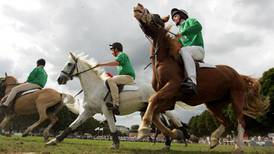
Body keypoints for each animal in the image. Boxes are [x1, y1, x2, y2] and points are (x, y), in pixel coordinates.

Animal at [46, 52, 185, 149]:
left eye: (69, 64)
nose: (59, 79)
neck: (94, 87)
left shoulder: (106, 110)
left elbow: (113, 129)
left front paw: (116, 145)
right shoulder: (88, 111)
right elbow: (71, 127)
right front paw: (53, 141)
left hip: (160, 107)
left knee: (174, 119)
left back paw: (182, 134)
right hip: (149, 110)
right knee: (162, 126)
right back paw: (169, 142)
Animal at [133, 3, 268, 152]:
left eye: (156, 16)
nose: (139, 6)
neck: (164, 60)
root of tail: (237, 74)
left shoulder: (172, 87)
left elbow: (152, 100)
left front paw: (143, 128)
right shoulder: (169, 99)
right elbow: (156, 114)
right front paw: (175, 133)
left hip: (236, 98)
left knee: (240, 121)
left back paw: (238, 147)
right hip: (213, 104)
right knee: (225, 122)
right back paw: (214, 139)